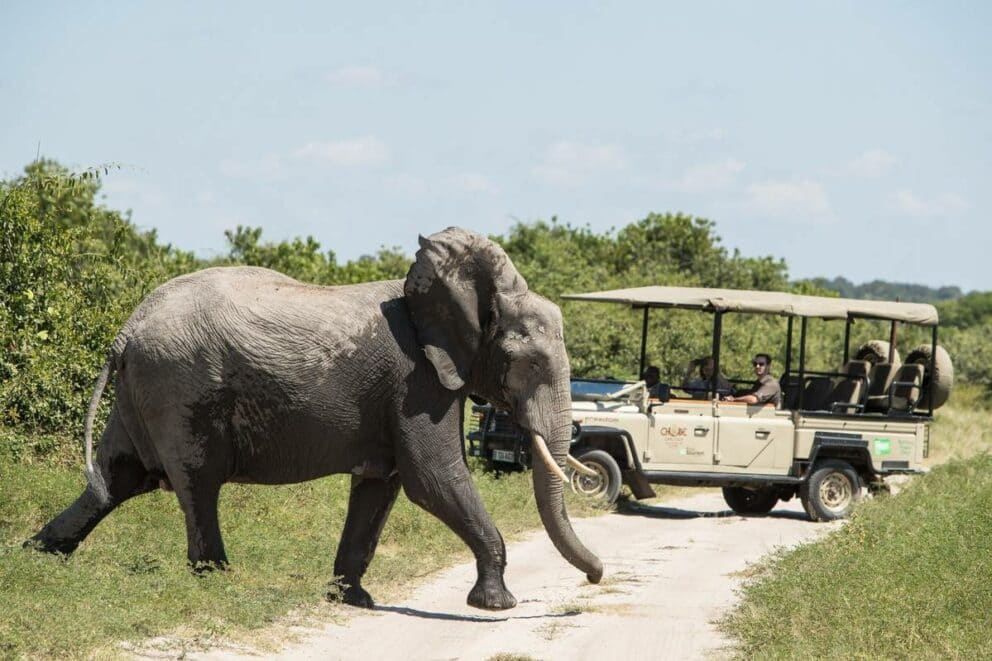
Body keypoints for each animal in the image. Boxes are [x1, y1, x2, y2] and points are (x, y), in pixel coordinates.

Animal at [27, 226, 602, 610]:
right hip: (177, 385)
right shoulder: (416, 381)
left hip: (142, 390)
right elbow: (432, 478)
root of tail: (127, 328)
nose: (596, 576)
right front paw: (496, 606)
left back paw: (35, 556)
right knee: (196, 482)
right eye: (531, 364)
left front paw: (354, 600)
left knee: (117, 478)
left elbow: (380, 485)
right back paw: (217, 580)